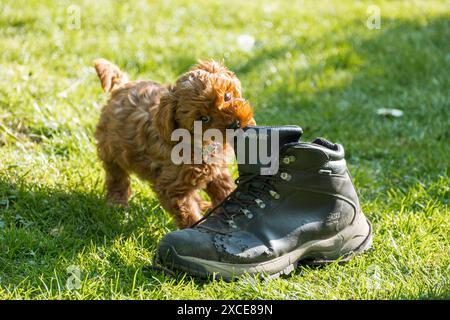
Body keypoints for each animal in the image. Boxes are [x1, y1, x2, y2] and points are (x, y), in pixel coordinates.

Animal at [94, 59, 256, 228]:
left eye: (227, 96)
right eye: (204, 119)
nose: (235, 124)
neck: (198, 141)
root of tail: (122, 86)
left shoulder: (218, 173)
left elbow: (224, 191)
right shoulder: (172, 188)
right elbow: (188, 213)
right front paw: (196, 226)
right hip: (111, 149)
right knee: (116, 177)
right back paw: (117, 204)